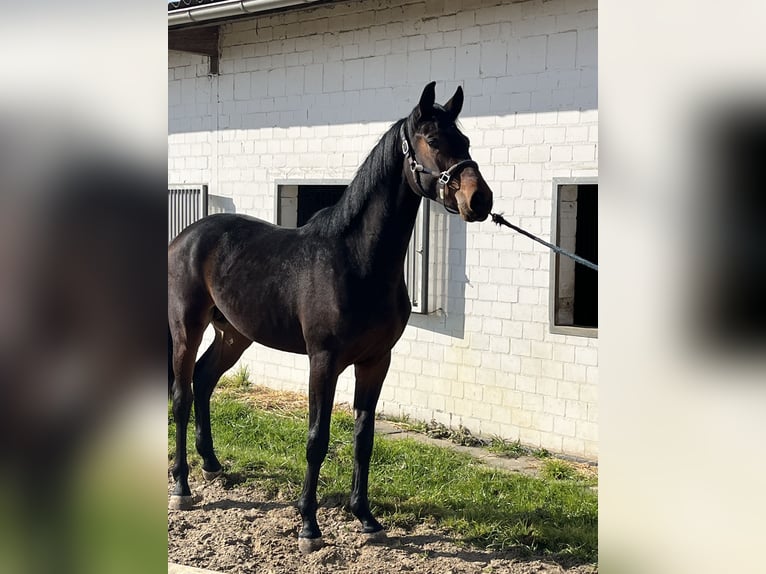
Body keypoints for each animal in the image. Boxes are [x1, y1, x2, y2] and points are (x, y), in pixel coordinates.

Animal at [167, 82, 492, 552]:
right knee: (182, 396)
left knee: (205, 379)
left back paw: (211, 463)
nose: (479, 199)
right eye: (432, 140)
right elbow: (316, 439)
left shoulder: (376, 361)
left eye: (464, 141)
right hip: (186, 328)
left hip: (234, 333)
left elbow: (363, 438)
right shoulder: (323, 361)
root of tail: (187, 237)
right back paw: (182, 486)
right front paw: (308, 525)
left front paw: (366, 518)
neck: (357, 260)